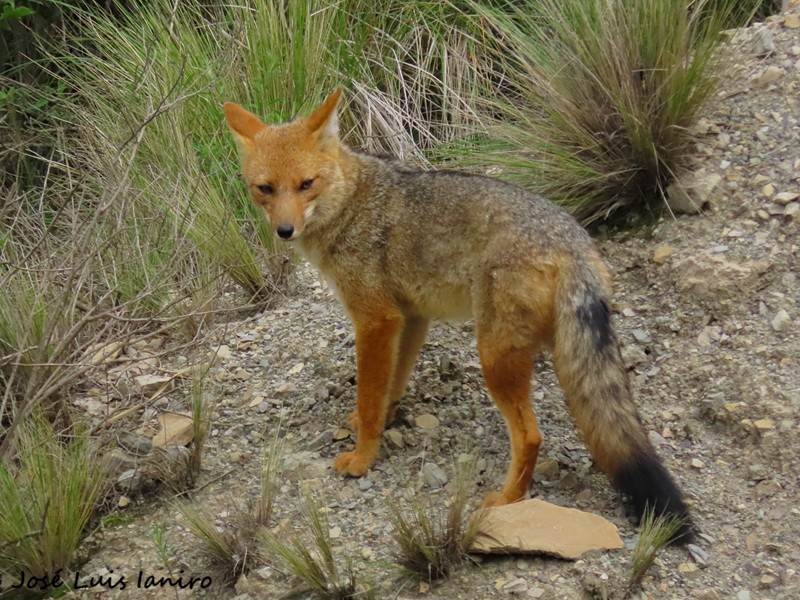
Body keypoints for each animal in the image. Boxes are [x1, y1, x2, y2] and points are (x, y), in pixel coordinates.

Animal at [223, 89, 694, 542]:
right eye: (265, 188)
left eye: (306, 184)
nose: (284, 231)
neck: (351, 203)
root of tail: (574, 240)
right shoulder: (411, 318)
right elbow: (391, 386)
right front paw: (376, 422)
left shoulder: (376, 320)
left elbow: (371, 394)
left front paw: (362, 458)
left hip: (494, 360)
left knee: (531, 436)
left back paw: (506, 501)